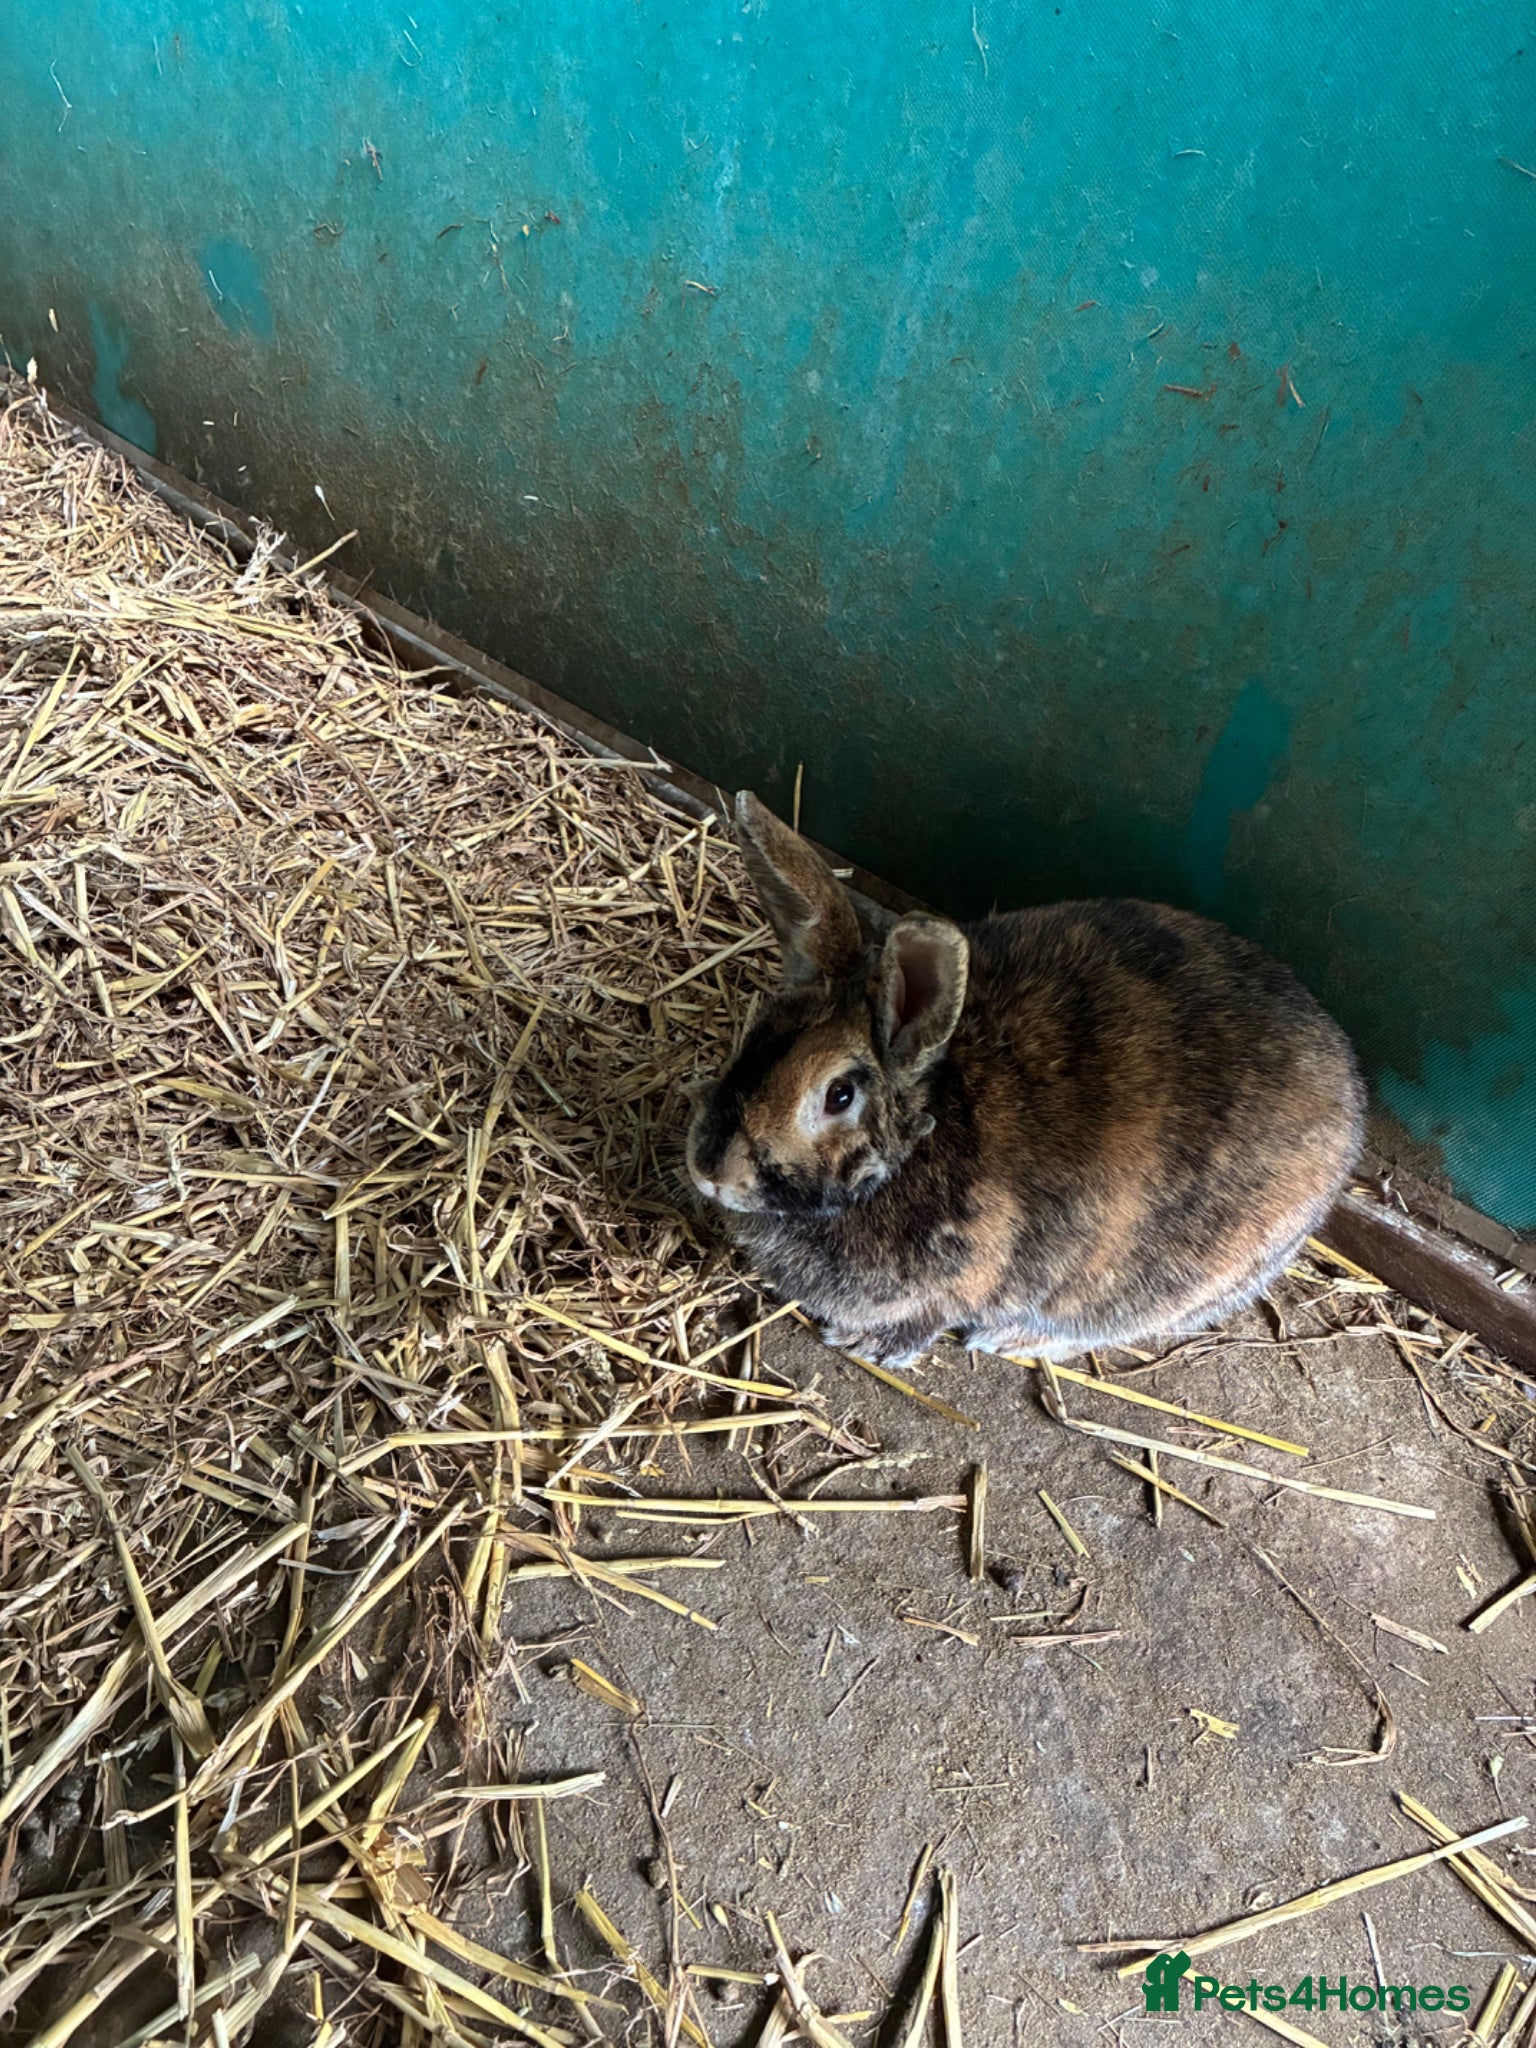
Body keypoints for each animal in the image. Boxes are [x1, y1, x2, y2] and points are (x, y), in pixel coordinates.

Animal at [685, 792, 1365, 1366]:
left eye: (839, 1095)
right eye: (756, 1032)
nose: (711, 1173)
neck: (922, 1130)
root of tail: (1347, 1089)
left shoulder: (965, 1278)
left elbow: (930, 1316)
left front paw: (867, 1344)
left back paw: (1006, 1340)